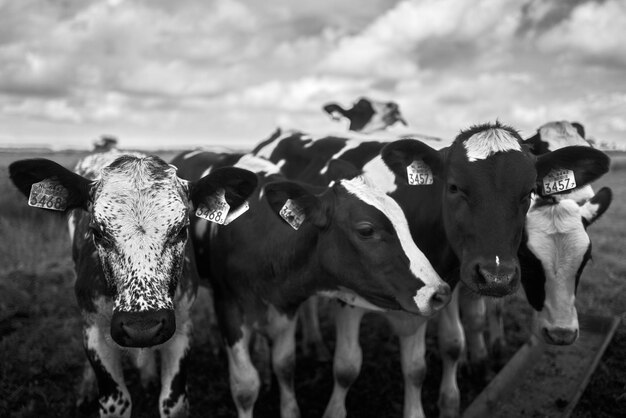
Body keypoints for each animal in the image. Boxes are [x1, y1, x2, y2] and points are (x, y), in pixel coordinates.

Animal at [7, 150, 256, 418]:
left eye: (182, 229)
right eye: (97, 232)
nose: (142, 328)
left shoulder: (182, 329)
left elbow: (174, 403)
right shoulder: (95, 331)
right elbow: (116, 402)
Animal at [173, 151, 450, 418]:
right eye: (366, 230)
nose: (439, 292)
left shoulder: (286, 305)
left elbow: (285, 365)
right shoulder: (228, 305)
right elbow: (245, 386)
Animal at [250, 121, 608, 418]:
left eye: (529, 192)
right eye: (454, 187)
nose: (496, 277)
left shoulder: (443, 289)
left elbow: (437, 354)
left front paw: (452, 395)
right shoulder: (348, 296)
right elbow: (347, 368)